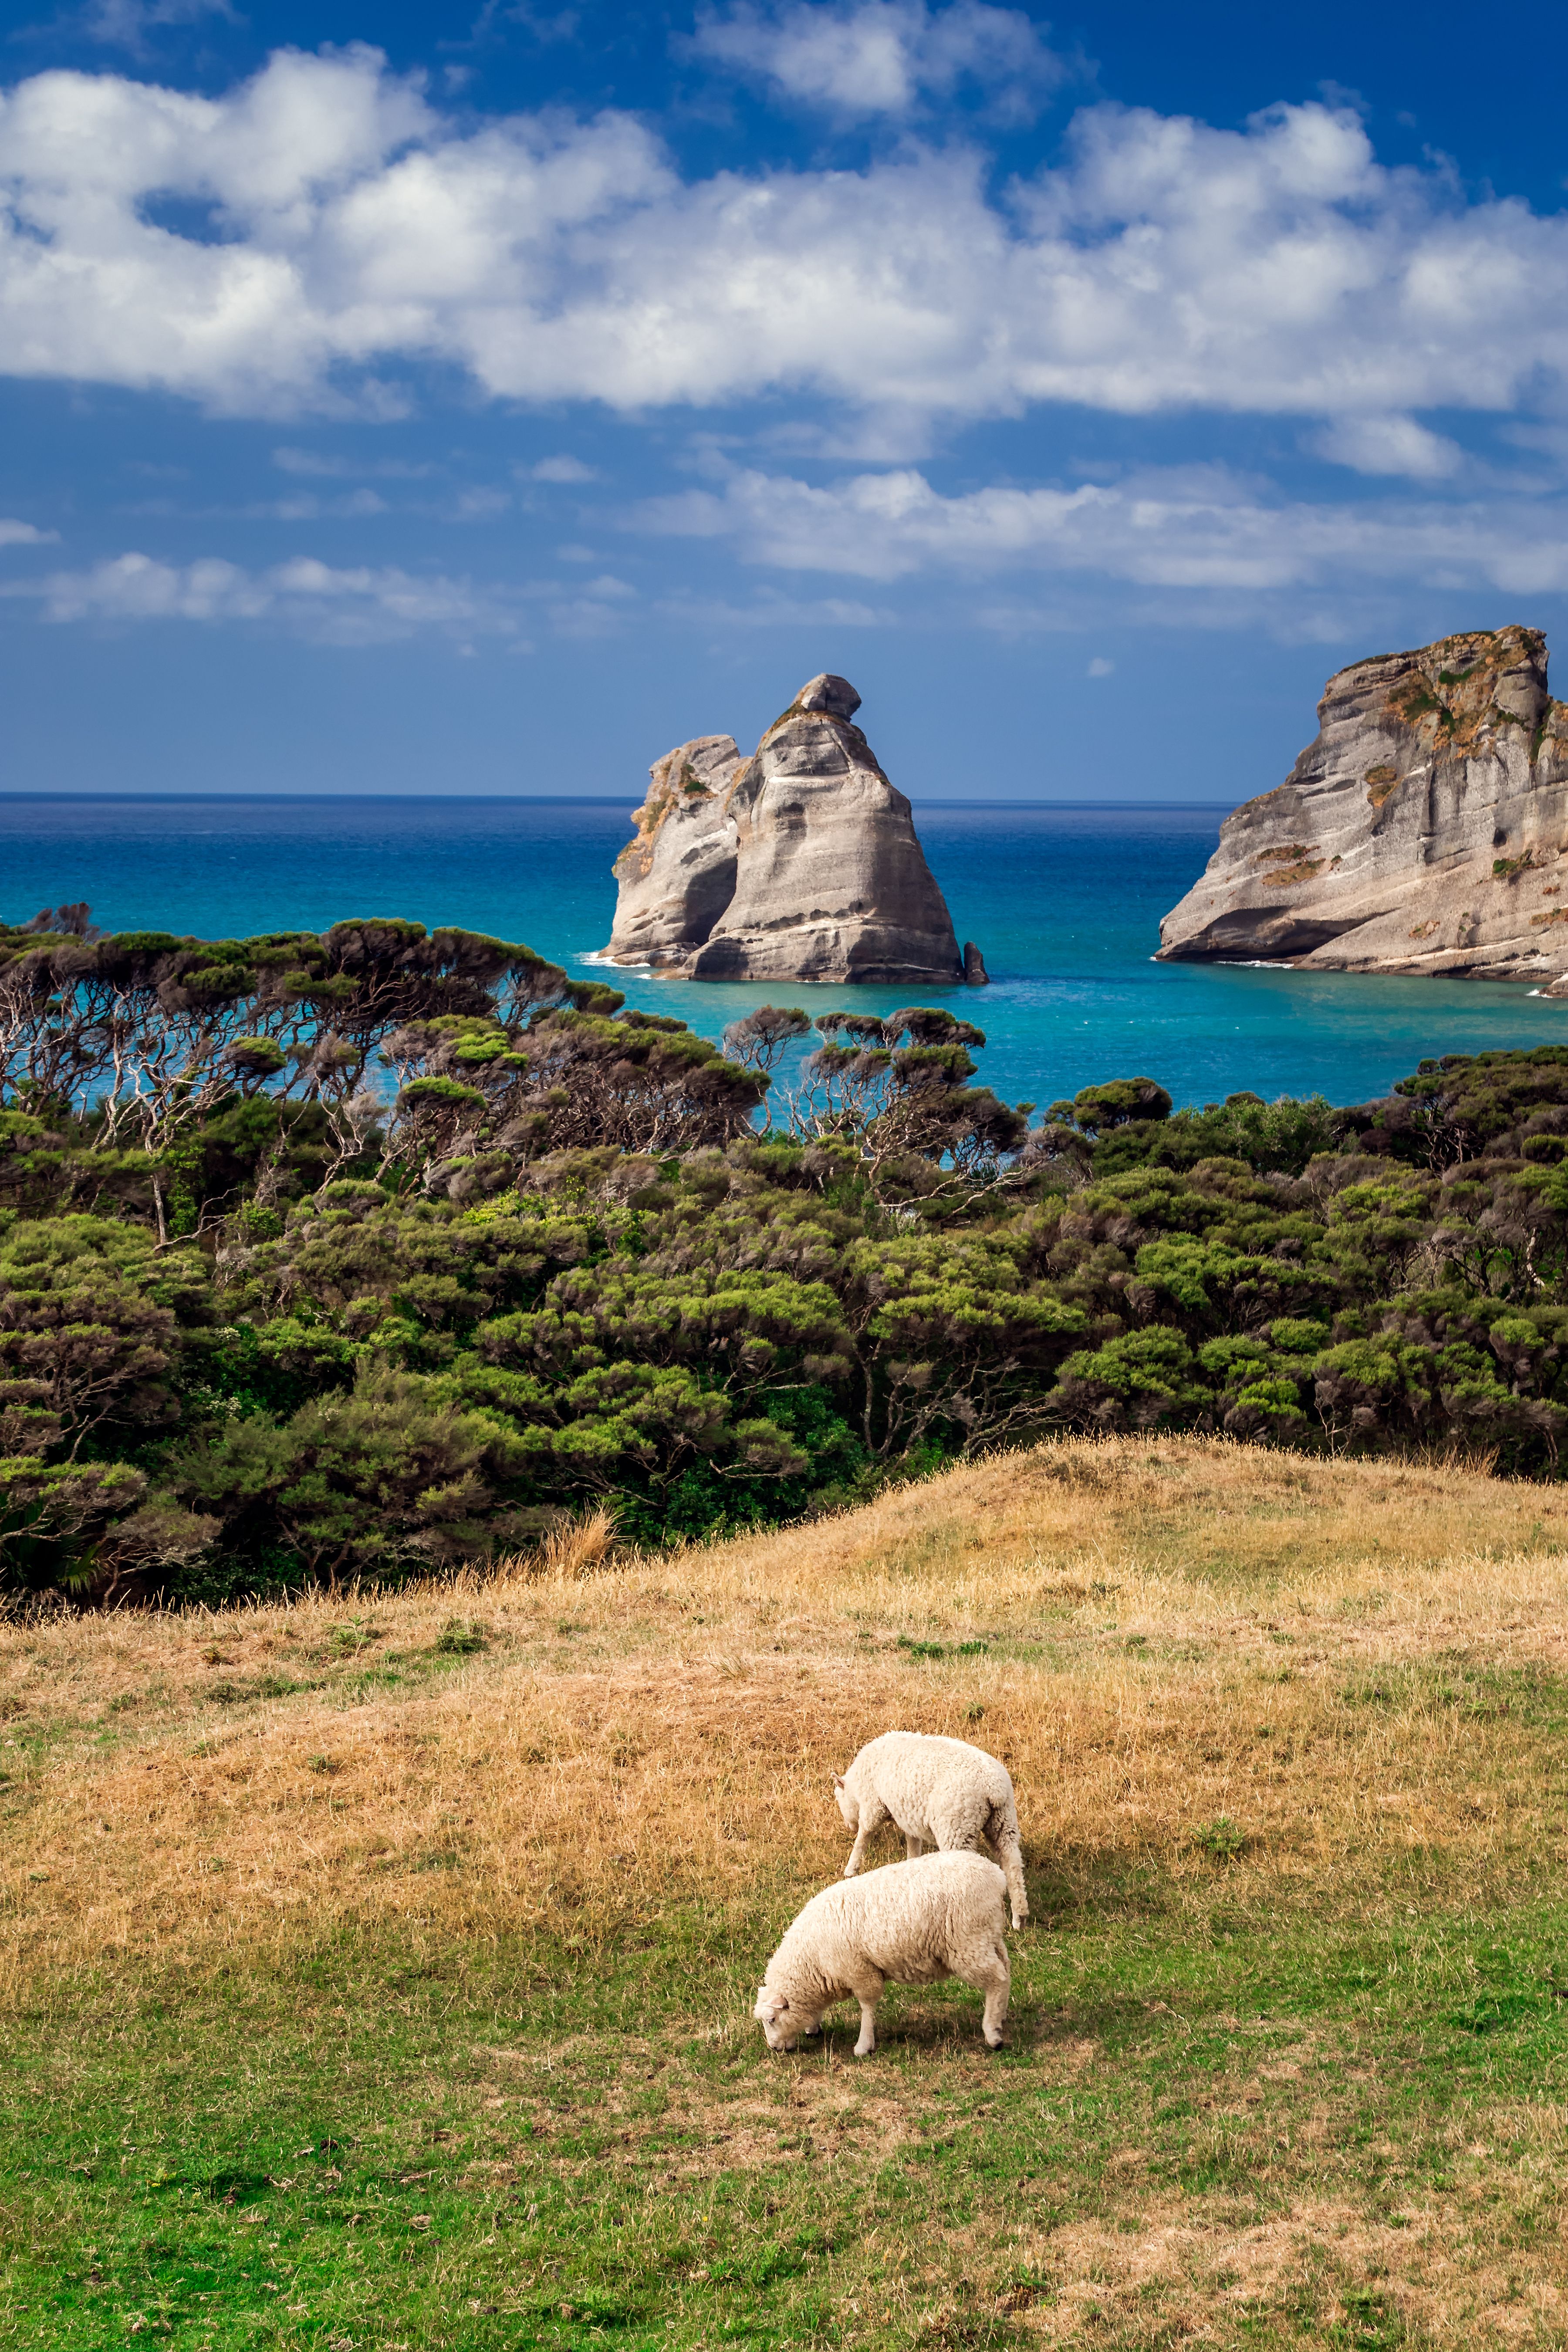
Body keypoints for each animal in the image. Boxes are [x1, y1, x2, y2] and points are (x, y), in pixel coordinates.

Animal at [754, 1851, 1010, 2057]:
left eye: (772, 2020)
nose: (774, 2049)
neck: (812, 1959)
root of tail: (997, 1876)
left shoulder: (860, 1970)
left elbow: (867, 2006)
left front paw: (864, 2046)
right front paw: (813, 2027)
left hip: (968, 1943)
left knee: (997, 1980)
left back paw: (993, 2035)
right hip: (989, 1936)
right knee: (1005, 1972)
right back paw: (1000, 2018)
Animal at [832, 1730, 1028, 1929]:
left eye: (839, 1800)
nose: (849, 1827)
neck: (857, 1786)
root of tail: (993, 1789)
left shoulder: (873, 1806)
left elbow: (864, 1836)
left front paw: (850, 1869)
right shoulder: (908, 1817)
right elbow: (913, 1844)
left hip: (957, 1827)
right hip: (1004, 1822)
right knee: (1012, 1865)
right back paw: (1019, 1919)